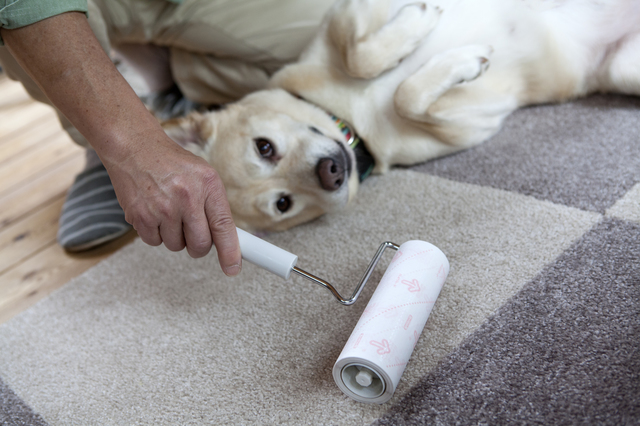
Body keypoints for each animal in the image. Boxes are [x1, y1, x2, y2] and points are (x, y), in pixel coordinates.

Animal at [164, 0, 640, 231]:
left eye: (264, 148)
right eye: (284, 204)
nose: (332, 171)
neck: (351, 117)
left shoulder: (340, 16)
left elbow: (359, 57)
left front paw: (418, 22)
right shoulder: (474, 124)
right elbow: (406, 95)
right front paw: (465, 60)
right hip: (623, 70)